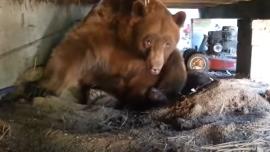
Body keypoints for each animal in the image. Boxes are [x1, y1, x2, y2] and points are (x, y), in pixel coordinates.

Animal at [37, 0, 187, 107]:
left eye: (167, 43)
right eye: (148, 41)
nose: (155, 67)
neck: (128, 41)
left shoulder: (145, 63)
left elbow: (145, 78)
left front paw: (143, 97)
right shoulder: (102, 28)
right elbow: (74, 48)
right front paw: (44, 87)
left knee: (177, 63)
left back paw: (158, 95)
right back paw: (99, 95)